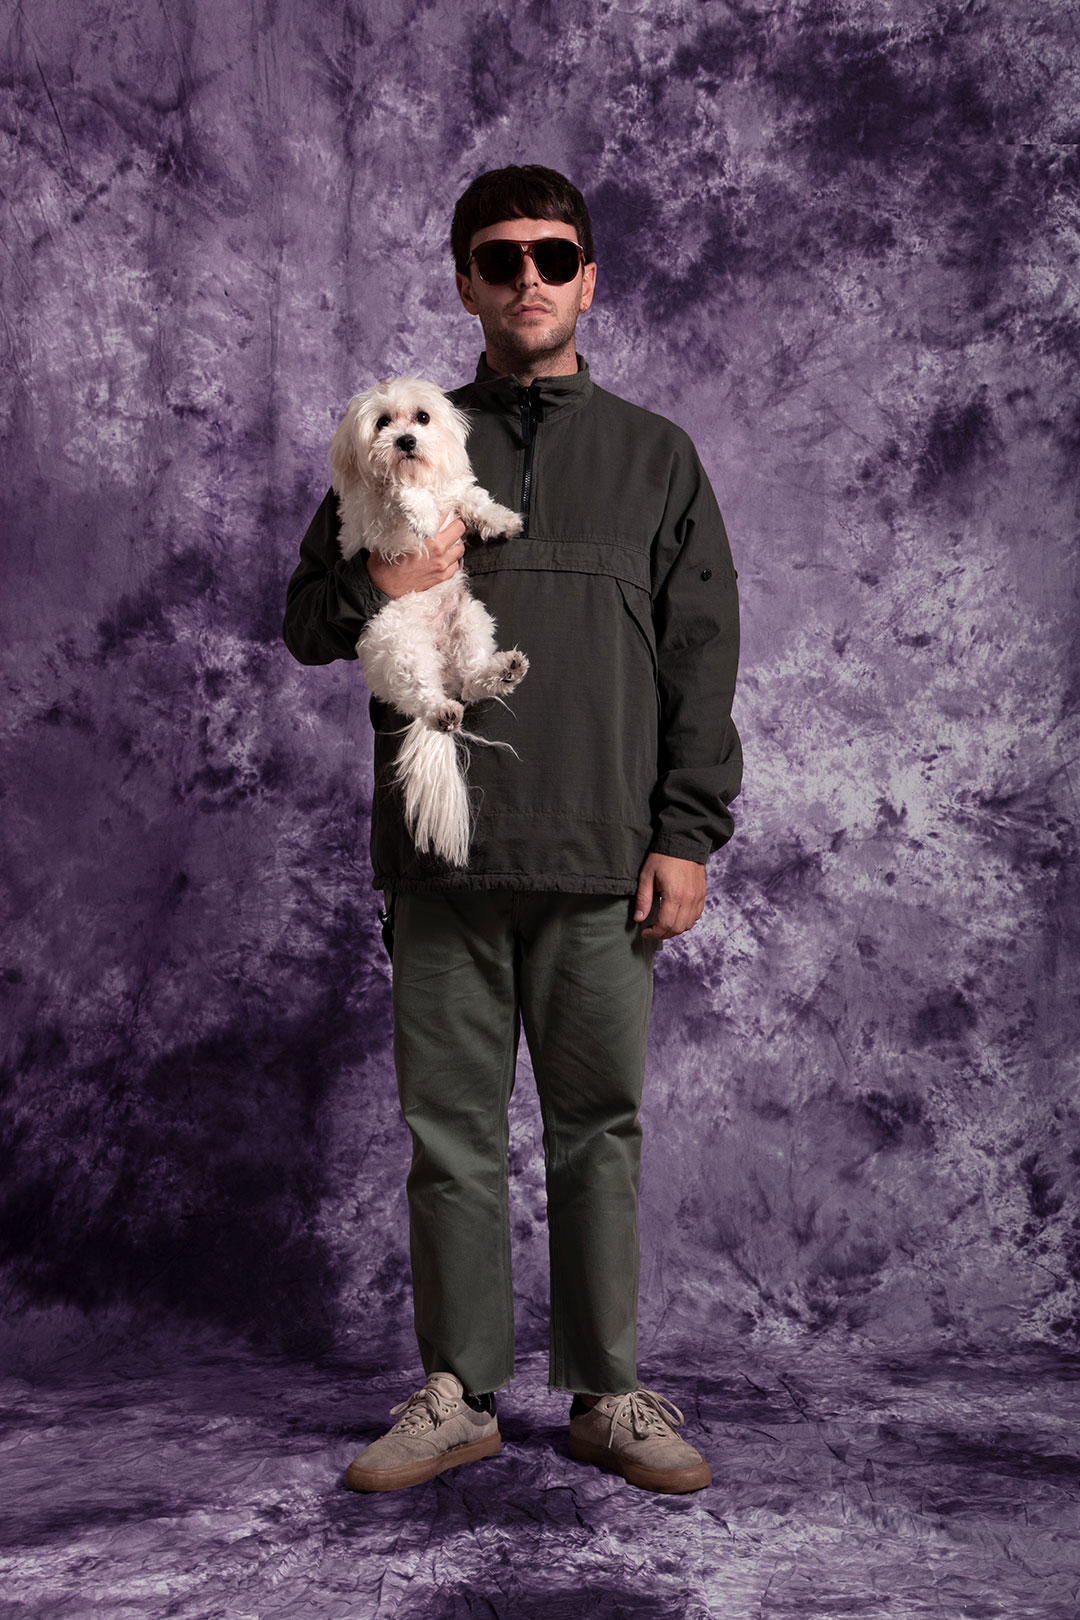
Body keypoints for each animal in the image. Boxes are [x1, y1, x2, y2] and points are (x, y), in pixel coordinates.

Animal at [330, 376, 528, 867]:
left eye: (422, 417)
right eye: (383, 422)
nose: (406, 441)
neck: (416, 474)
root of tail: (444, 672)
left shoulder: (454, 493)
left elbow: (470, 497)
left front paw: (501, 520)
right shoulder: (380, 519)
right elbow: (397, 497)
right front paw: (419, 511)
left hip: (469, 617)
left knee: (474, 682)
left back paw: (501, 672)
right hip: (400, 647)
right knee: (425, 696)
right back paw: (441, 710)